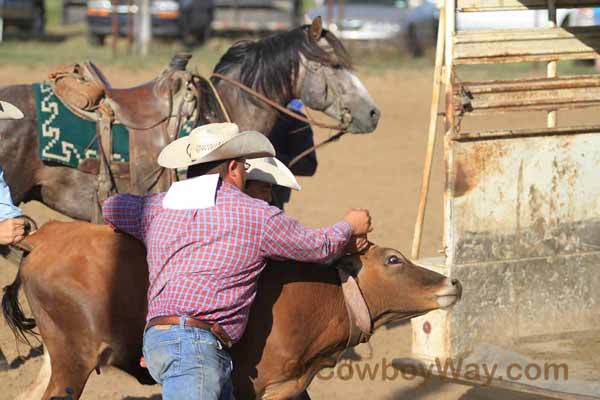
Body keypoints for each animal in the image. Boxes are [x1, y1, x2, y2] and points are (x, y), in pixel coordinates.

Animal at [3, 222, 460, 400]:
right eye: (394, 259)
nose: (451, 284)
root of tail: (43, 238)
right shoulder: (250, 385)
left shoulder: (290, 385)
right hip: (73, 362)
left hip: (57, 357)